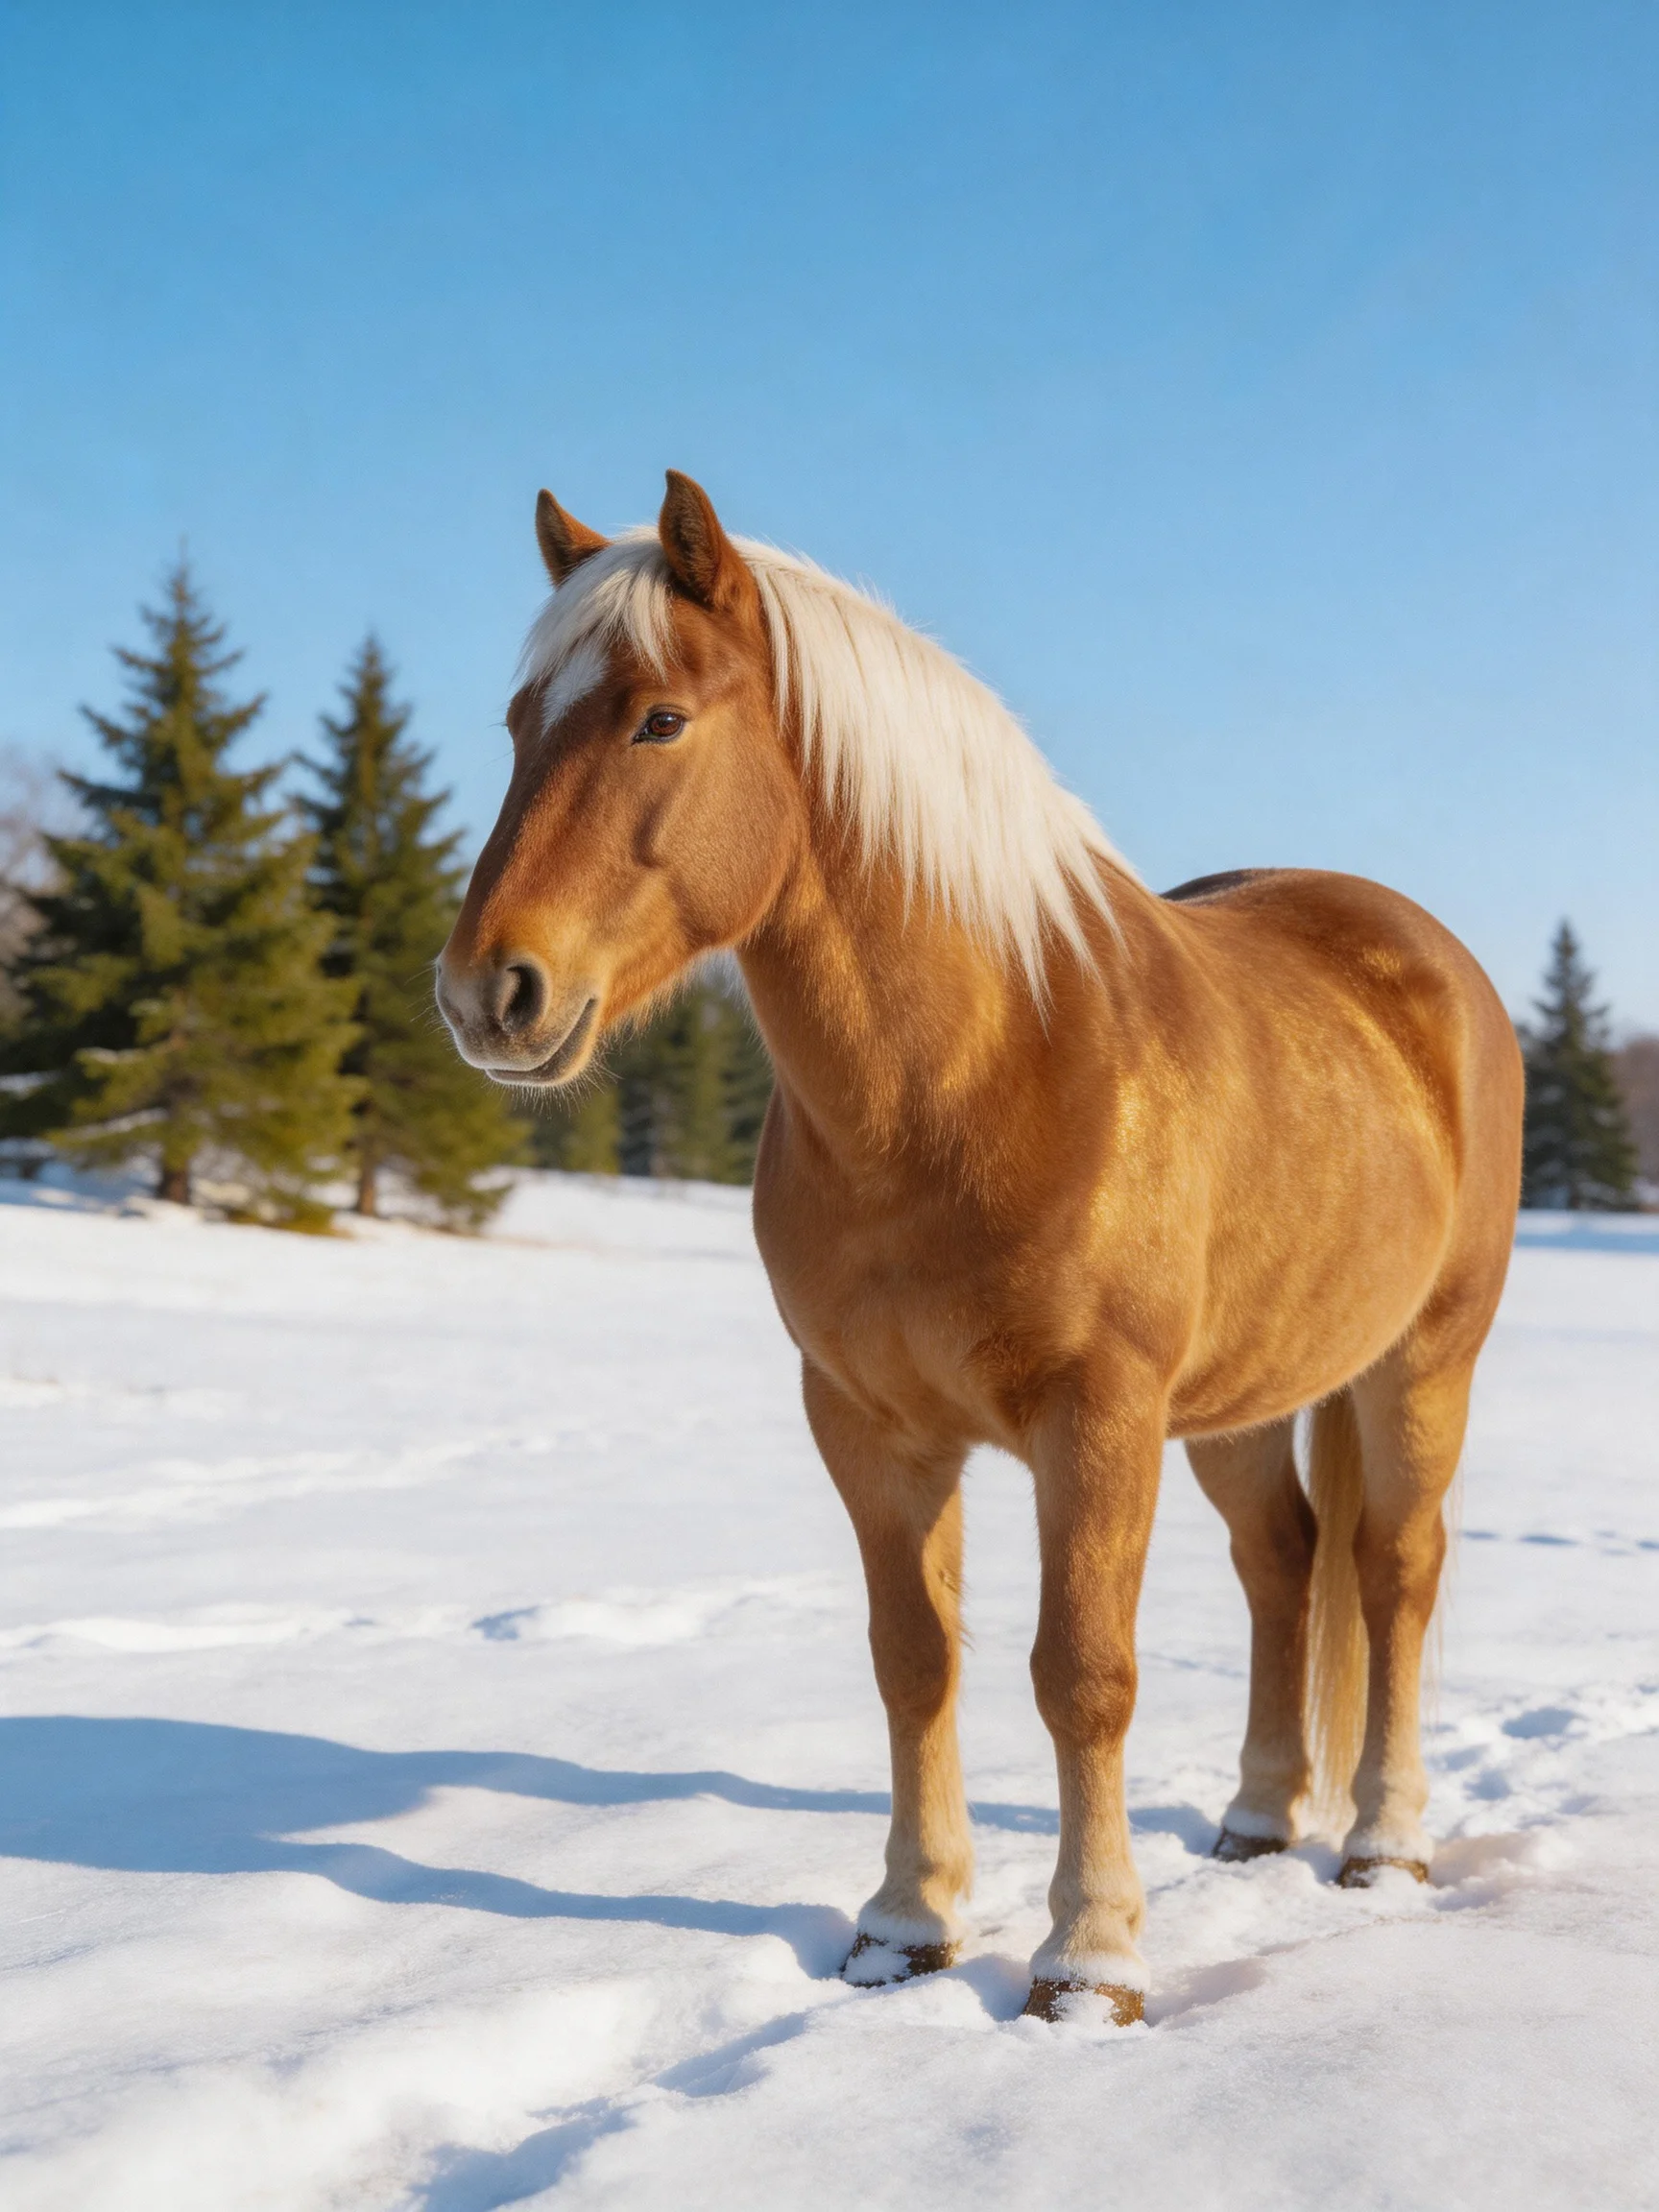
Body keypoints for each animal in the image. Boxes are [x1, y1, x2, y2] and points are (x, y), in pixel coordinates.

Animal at [437, 471, 1523, 2025]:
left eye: (659, 719)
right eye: (522, 722)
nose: (489, 995)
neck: (976, 1075)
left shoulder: (1098, 1420)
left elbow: (1083, 1674)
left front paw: (1090, 1961)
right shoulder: (871, 1426)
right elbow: (915, 1663)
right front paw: (907, 1926)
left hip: (1423, 1363)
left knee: (1393, 1570)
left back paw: (1383, 1842)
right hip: (1241, 1406)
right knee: (1283, 1561)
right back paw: (1260, 1821)